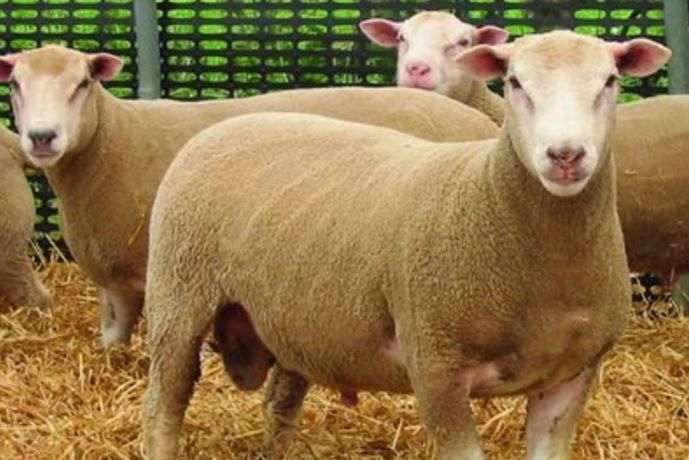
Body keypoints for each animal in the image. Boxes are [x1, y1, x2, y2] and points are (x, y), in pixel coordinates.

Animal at [142, 31, 670, 459]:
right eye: (515, 82)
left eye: (609, 81)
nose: (565, 155)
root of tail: (231, 124)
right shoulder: (436, 367)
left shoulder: (570, 378)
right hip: (177, 297)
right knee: (162, 408)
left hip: (294, 320)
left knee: (279, 402)